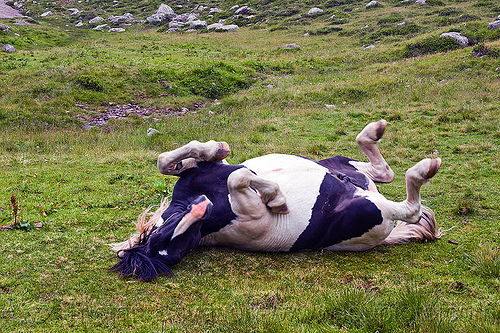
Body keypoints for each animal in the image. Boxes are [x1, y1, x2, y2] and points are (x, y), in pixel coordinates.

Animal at [110, 119, 442, 280]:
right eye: (165, 250)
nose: (202, 208)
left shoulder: (203, 170)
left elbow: (171, 159)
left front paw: (217, 147)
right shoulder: (250, 213)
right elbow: (239, 178)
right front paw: (277, 197)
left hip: (343, 165)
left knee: (382, 171)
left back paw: (375, 131)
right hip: (369, 209)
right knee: (410, 209)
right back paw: (424, 168)